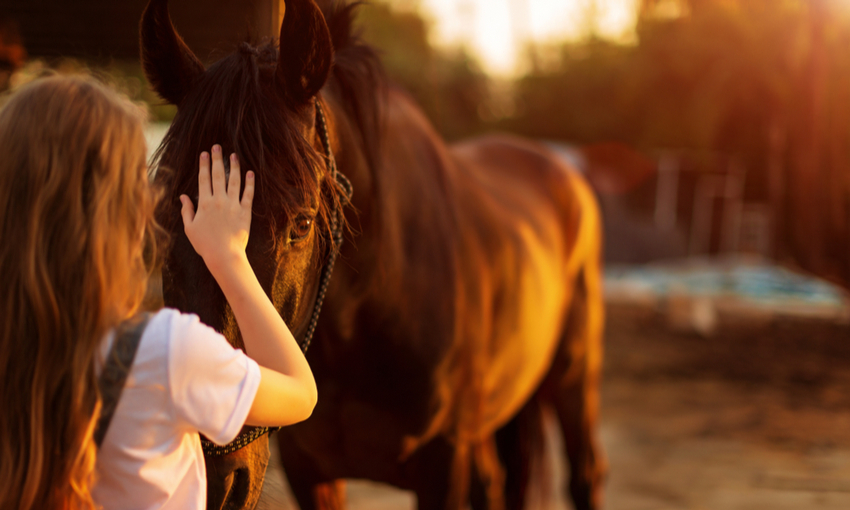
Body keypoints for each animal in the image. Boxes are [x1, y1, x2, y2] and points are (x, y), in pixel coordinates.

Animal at [139, 0, 604, 510]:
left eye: (302, 224)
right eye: (163, 218)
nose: (212, 480)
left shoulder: (444, 463)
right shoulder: (309, 469)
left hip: (574, 377)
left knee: (584, 473)